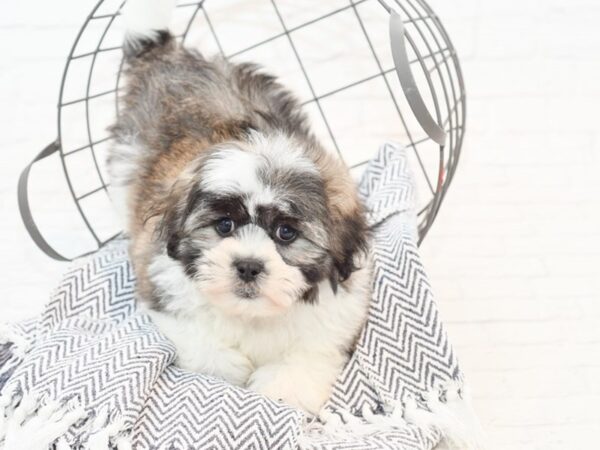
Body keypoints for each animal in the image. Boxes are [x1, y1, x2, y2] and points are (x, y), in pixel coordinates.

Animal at [108, 0, 370, 414]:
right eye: (224, 226)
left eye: (286, 233)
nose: (248, 265)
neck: (253, 315)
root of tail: (167, 57)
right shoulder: (163, 287)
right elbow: (201, 342)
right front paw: (227, 368)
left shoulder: (332, 319)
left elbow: (303, 361)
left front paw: (281, 388)